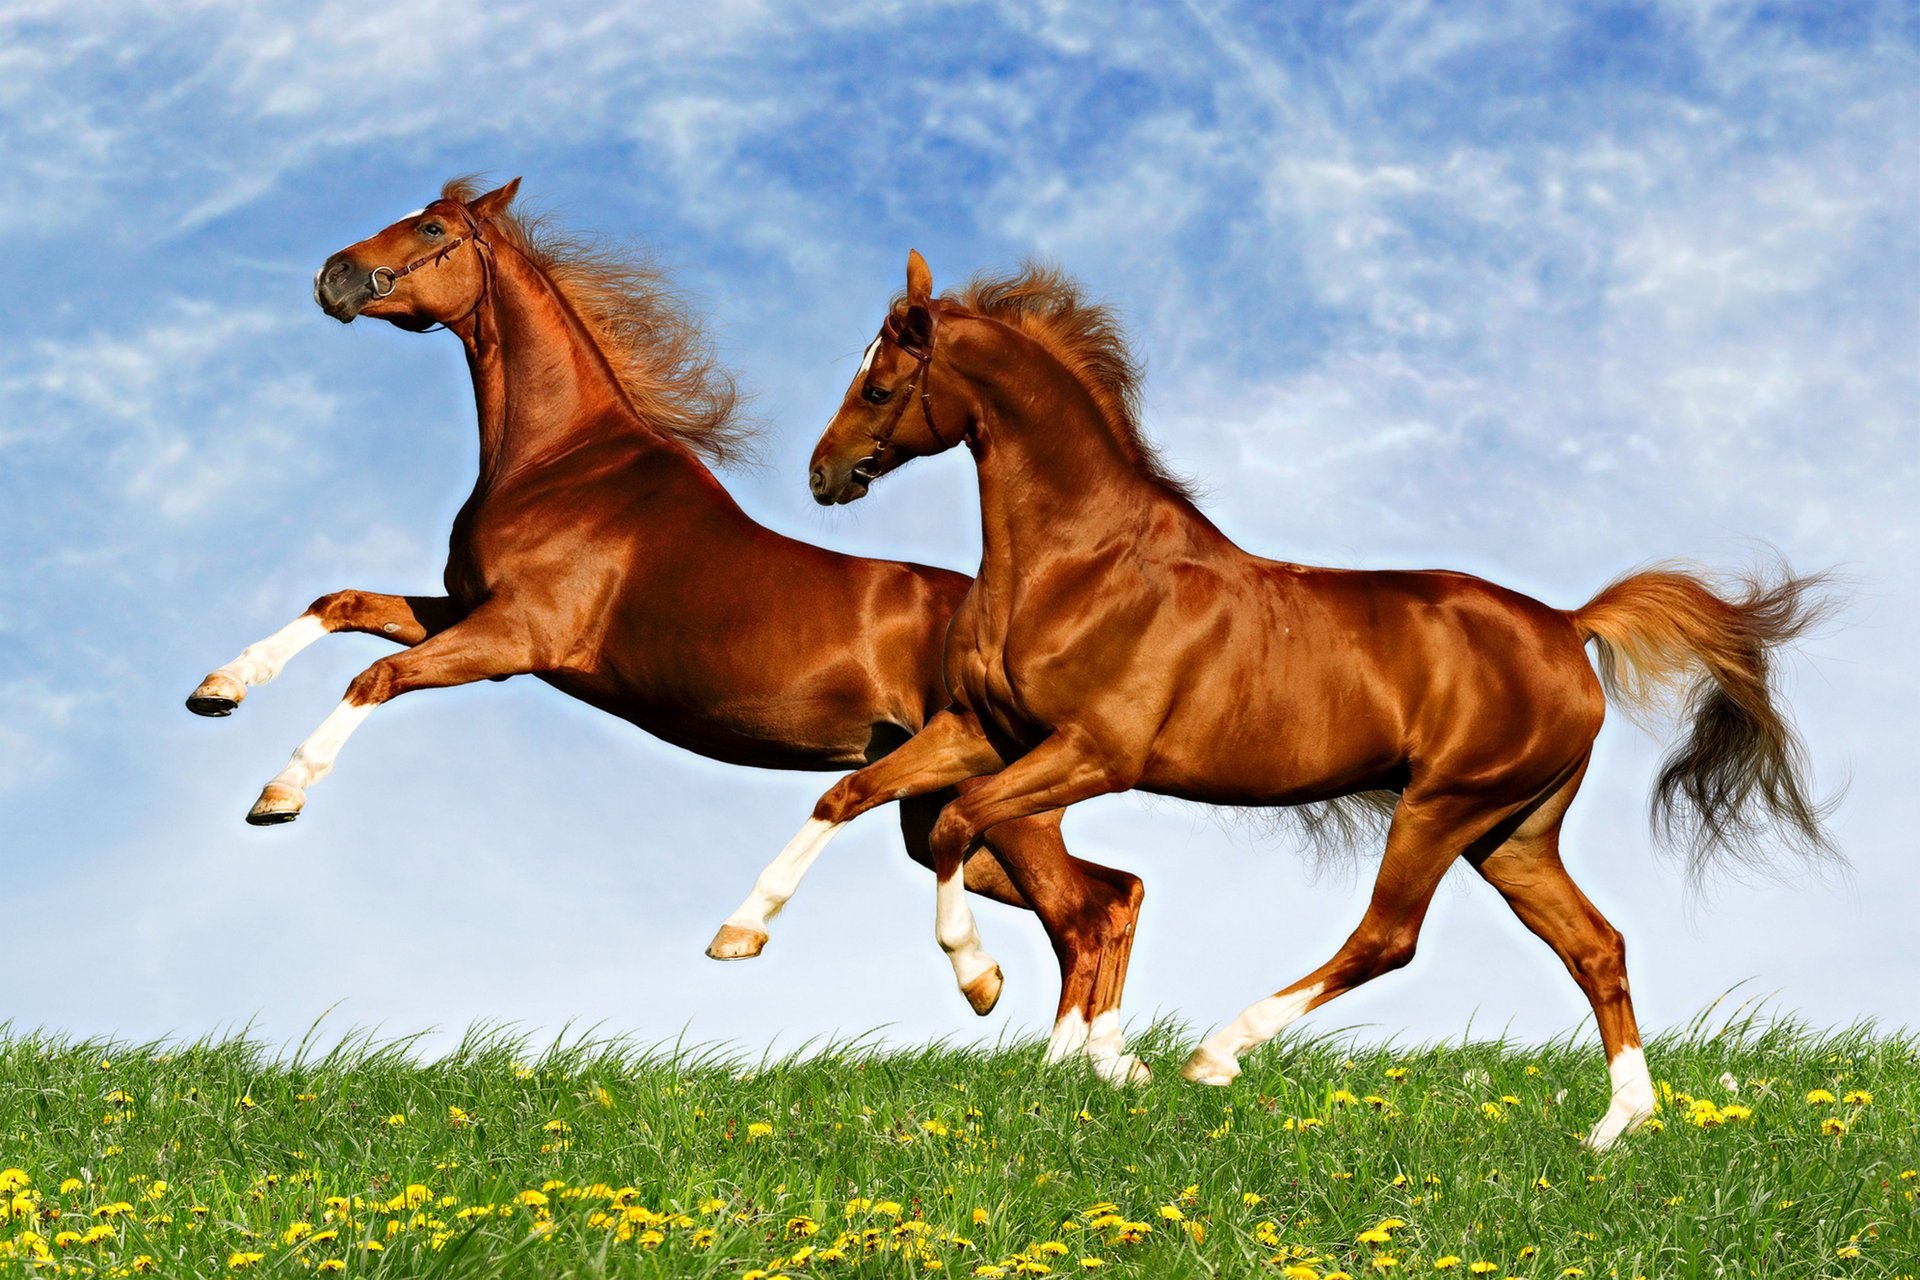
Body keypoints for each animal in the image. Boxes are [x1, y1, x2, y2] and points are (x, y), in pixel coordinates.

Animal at [184, 183, 1148, 1078]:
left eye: (431, 228)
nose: (333, 276)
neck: (561, 463)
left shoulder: (511, 641)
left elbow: (374, 679)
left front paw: (279, 794)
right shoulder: (464, 610)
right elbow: (339, 604)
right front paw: (219, 688)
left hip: (1000, 807)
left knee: (1086, 914)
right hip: (943, 813)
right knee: (1114, 894)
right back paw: (1105, 1060)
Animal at [736, 249, 1838, 1149]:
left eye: (881, 382)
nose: (825, 474)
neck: (1078, 564)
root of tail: (1569, 626)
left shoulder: (1094, 753)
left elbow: (961, 825)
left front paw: (980, 980)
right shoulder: (981, 730)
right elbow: (849, 794)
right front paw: (739, 933)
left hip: (1444, 805)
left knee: (1389, 937)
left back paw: (1218, 1050)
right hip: (1514, 831)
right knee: (1595, 945)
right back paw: (1618, 1126)